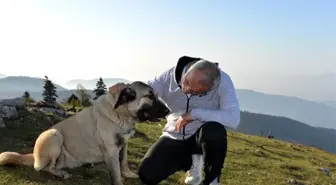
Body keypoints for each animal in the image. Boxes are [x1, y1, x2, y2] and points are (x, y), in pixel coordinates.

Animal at [0, 81, 169, 185]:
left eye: (156, 95)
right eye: (149, 96)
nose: (168, 110)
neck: (121, 113)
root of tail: (34, 156)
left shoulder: (124, 144)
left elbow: (124, 161)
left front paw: (128, 173)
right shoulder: (111, 151)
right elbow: (116, 173)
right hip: (54, 134)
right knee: (46, 167)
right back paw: (59, 173)